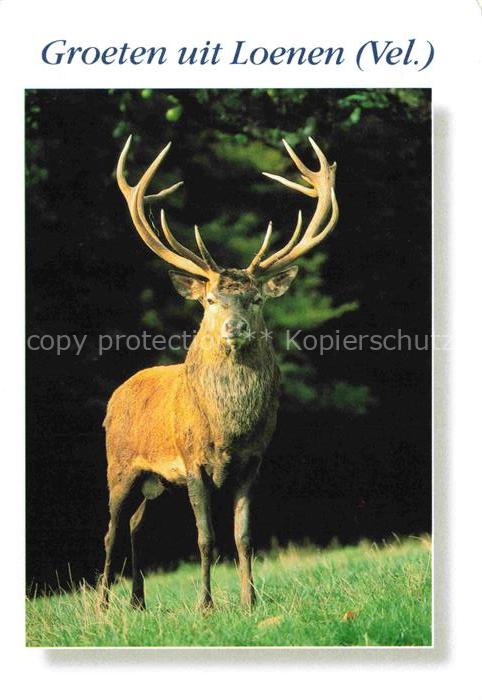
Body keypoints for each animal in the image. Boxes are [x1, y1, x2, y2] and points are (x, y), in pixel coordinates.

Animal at [100, 134, 338, 611]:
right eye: (210, 300)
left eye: (255, 299)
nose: (235, 327)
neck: (229, 430)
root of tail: (118, 394)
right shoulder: (192, 460)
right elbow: (205, 538)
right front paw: (205, 606)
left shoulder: (253, 461)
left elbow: (243, 536)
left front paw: (250, 603)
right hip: (119, 465)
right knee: (111, 530)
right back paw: (99, 607)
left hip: (156, 480)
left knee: (136, 525)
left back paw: (138, 603)